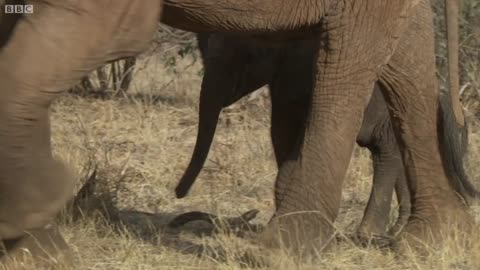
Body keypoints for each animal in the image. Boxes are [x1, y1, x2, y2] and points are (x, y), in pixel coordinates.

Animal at [174, 32, 410, 237]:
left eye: (252, 55)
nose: (178, 193)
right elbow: (281, 134)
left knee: (386, 153)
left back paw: (368, 234)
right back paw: (395, 231)